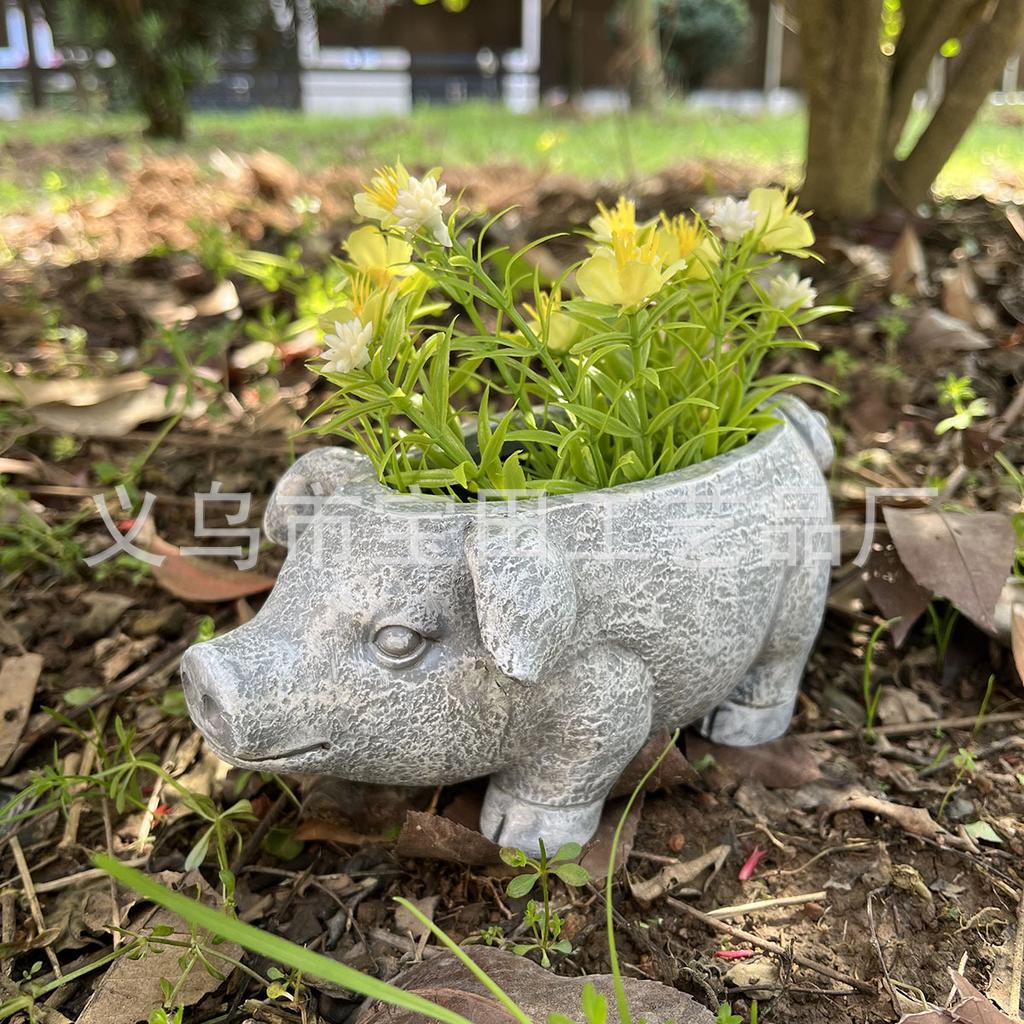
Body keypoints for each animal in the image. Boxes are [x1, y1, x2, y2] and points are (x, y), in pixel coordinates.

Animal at [181, 396, 834, 855]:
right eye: (284, 587)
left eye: (398, 641)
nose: (203, 669)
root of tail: (786, 419)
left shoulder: (612, 689)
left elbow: (572, 767)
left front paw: (519, 840)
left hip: (805, 586)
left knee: (784, 660)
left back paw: (736, 731)